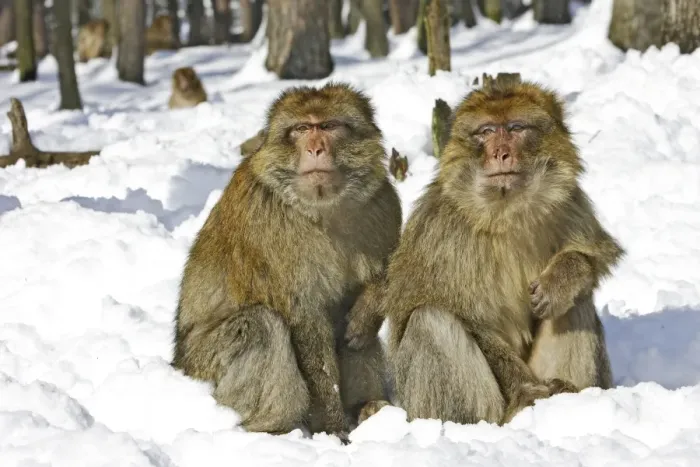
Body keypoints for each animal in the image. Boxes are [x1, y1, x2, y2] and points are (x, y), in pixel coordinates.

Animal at [171, 82, 403, 442]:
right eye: (302, 129)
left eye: (329, 126)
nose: (316, 148)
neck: (321, 208)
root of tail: (177, 363)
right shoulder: (269, 225)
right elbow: (304, 321)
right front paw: (332, 429)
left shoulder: (383, 202)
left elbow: (390, 270)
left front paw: (366, 312)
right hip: (203, 366)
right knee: (260, 327)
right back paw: (271, 427)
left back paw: (369, 407)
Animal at [366, 79, 624, 426]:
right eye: (487, 131)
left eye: (515, 128)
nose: (501, 153)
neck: (505, 213)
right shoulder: (442, 233)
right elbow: (464, 316)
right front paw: (526, 389)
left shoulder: (570, 202)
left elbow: (594, 257)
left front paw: (561, 279)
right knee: (430, 320)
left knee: (576, 302)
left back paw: (572, 397)